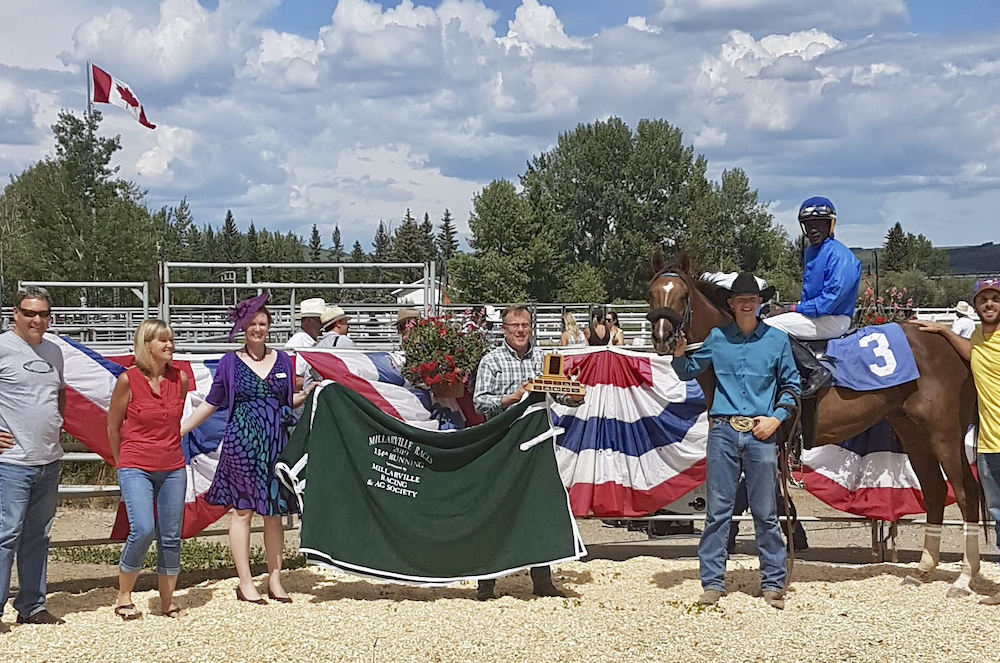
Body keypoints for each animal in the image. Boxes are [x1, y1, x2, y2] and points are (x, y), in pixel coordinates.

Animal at [648, 253, 984, 596]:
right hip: (912, 431)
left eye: (683, 295)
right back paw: (922, 569)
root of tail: (952, 344)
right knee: (934, 489)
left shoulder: (769, 443)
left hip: (943, 432)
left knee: (966, 492)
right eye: (652, 293)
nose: (662, 337)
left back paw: (964, 577)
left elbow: (770, 503)